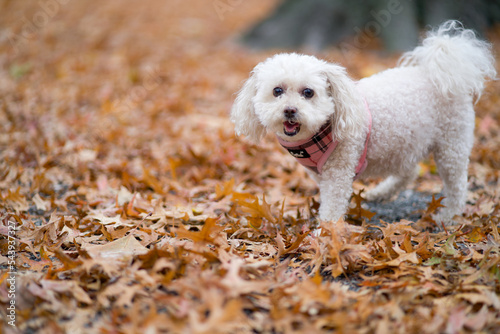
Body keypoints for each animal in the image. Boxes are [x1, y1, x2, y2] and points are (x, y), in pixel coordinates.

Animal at [231, 21, 496, 227]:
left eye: (308, 92)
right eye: (277, 91)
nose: (289, 110)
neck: (318, 134)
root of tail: (440, 74)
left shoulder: (339, 171)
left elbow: (332, 206)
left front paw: (325, 235)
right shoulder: (321, 175)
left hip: (451, 145)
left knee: (457, 184)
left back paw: (450, 215)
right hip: (405, 141)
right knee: (409, 171)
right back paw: (381, 193)